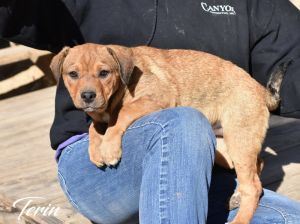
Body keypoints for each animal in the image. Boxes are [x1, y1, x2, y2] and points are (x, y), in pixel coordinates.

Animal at [51, 43, 286, 223]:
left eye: (104, 73)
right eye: (73, 74)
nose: (88, 96)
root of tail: (260, 90)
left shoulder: (157, 97)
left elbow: (122, 114)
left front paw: (108, 148)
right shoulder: (100, 115)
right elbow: (94, 126)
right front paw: (95, 149)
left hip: (239, 138)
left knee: (252, 187)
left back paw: (240, 218)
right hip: (226, 148)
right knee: (257, 168)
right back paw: (236, 196)